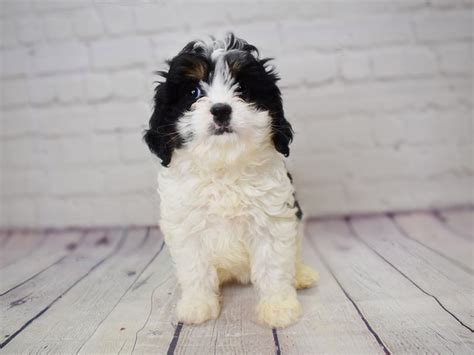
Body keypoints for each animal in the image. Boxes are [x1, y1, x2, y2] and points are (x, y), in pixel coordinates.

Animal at [143, 33, 316, 328]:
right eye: (194, 93)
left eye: (242, 89)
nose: (221, 110)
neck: (223, 166)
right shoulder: (186, 227)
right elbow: (195, 269)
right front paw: (198, 305)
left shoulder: (272, 222)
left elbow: (273, 267)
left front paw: (279, 308)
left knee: (293, 257)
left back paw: (301, 274)